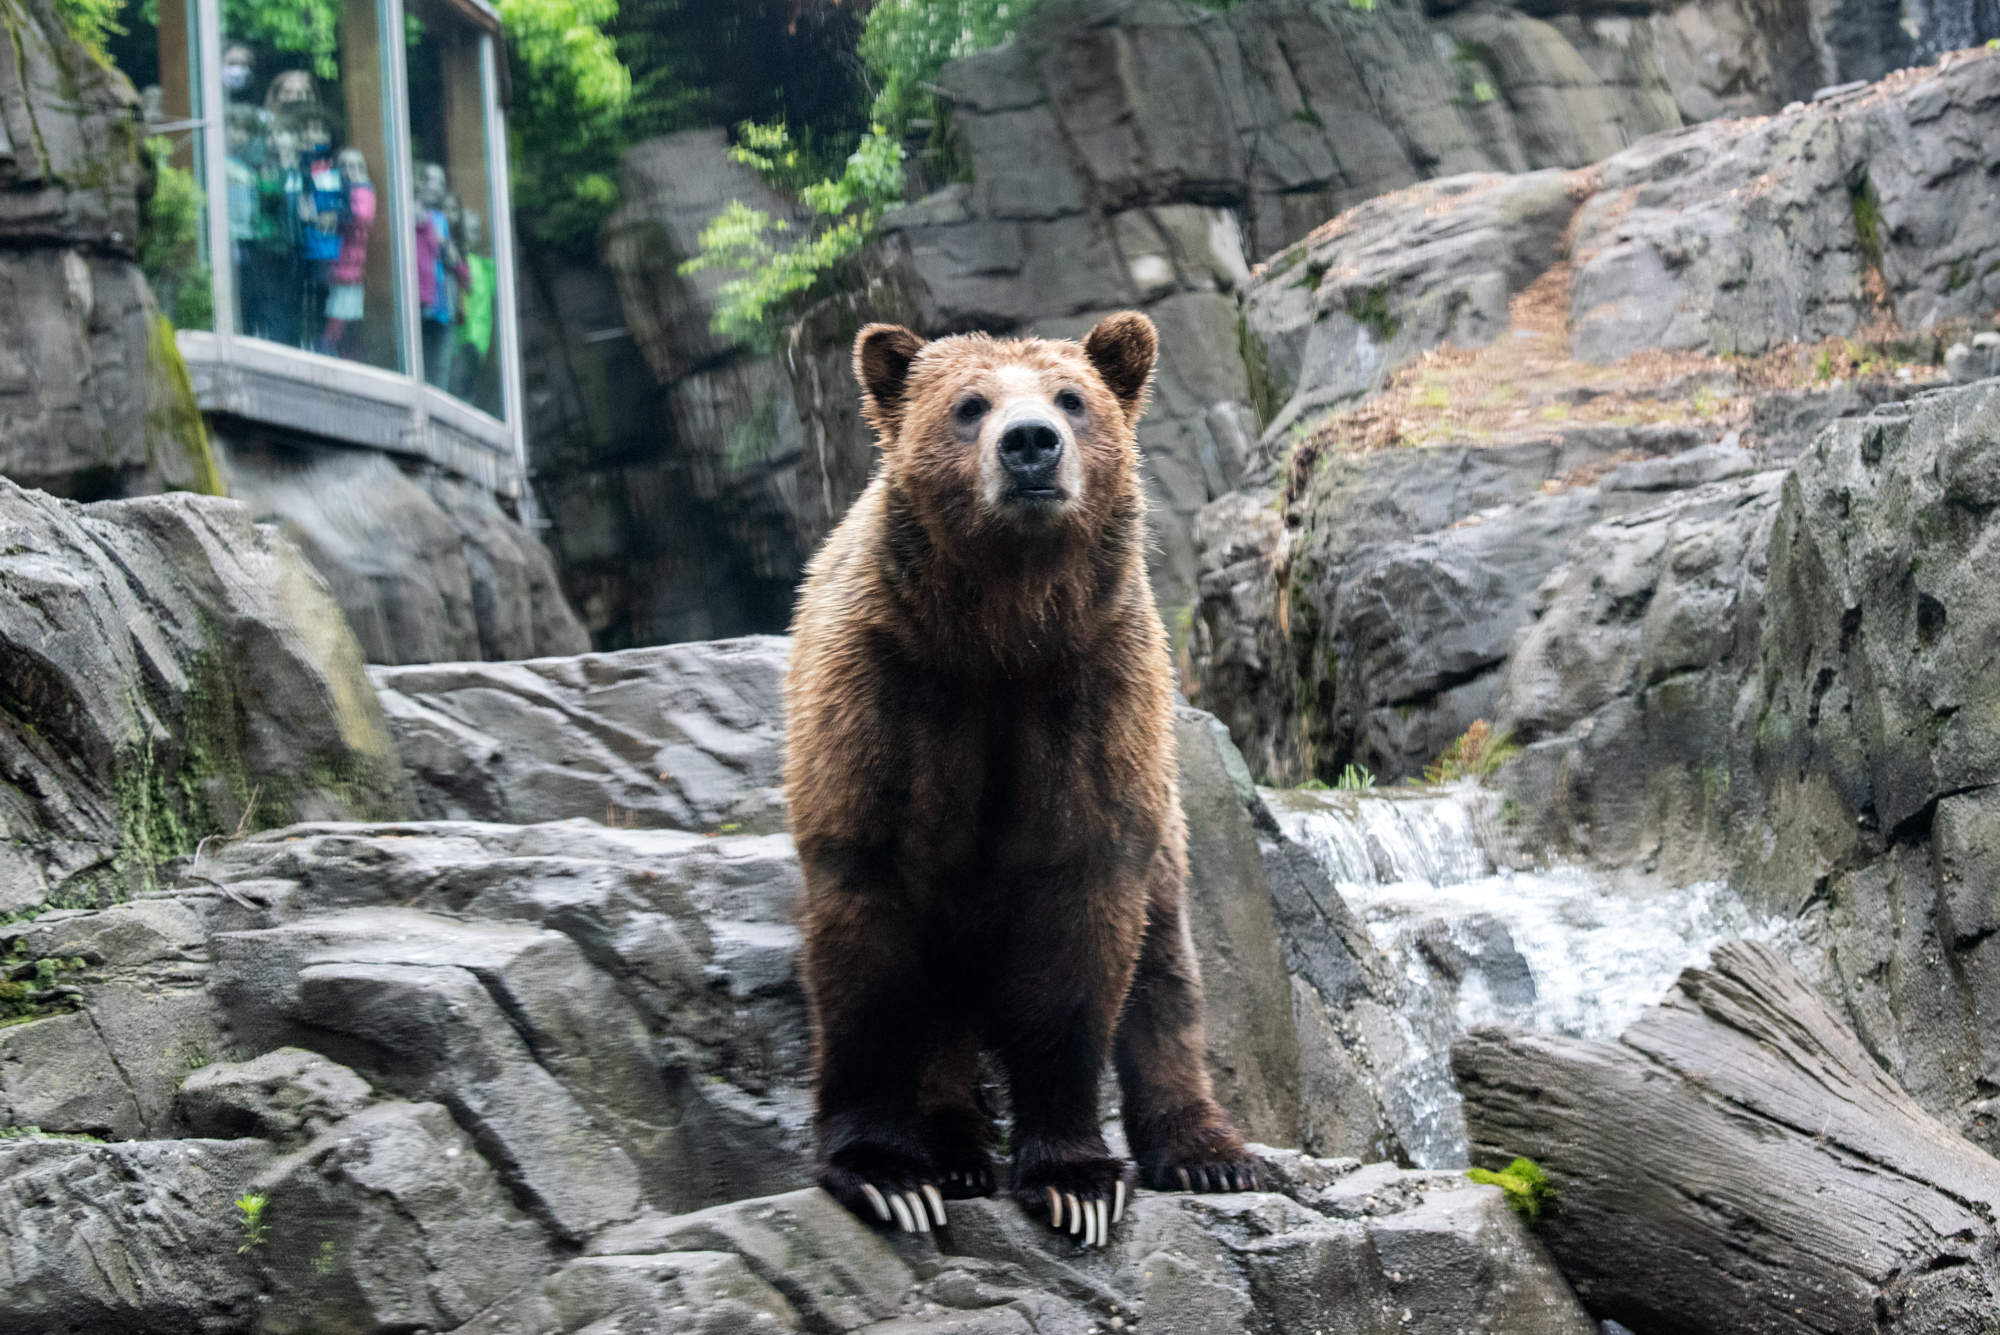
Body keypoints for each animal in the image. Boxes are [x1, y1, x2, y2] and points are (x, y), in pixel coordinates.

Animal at [788, 307, 1256, 1247]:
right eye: (969, 405)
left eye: (1073, 397)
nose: (1031, 444)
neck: (1000, 633)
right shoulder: (885, 699)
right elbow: (868, 959)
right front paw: (886, 1173)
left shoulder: (1089, 698)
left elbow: (1079, 953)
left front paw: (1077, 1180)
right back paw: (955, 1148)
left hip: (1165, 823)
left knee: (1167, 973)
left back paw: (1208, 1150)